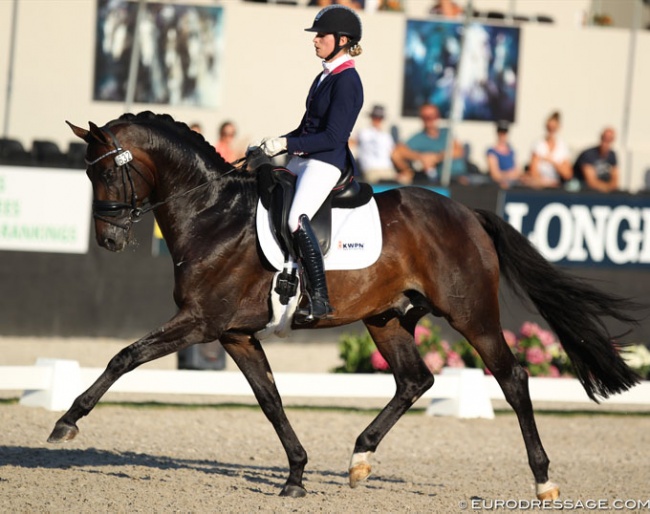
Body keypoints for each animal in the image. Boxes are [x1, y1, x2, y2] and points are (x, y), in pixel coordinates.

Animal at [50, 111, 636, 496]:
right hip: (385, 318)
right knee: (415, 379)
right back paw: (359, 459)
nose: (108, 240)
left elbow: (124, 357)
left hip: (471, 313)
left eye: (107, 172)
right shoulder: (234, 333)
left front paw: (66, 423)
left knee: (512, 378)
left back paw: (543, 481)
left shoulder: (200, 322)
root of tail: (467, 213)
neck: (213, 213)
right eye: (88, 173)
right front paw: (295, 476)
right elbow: (271, 400)